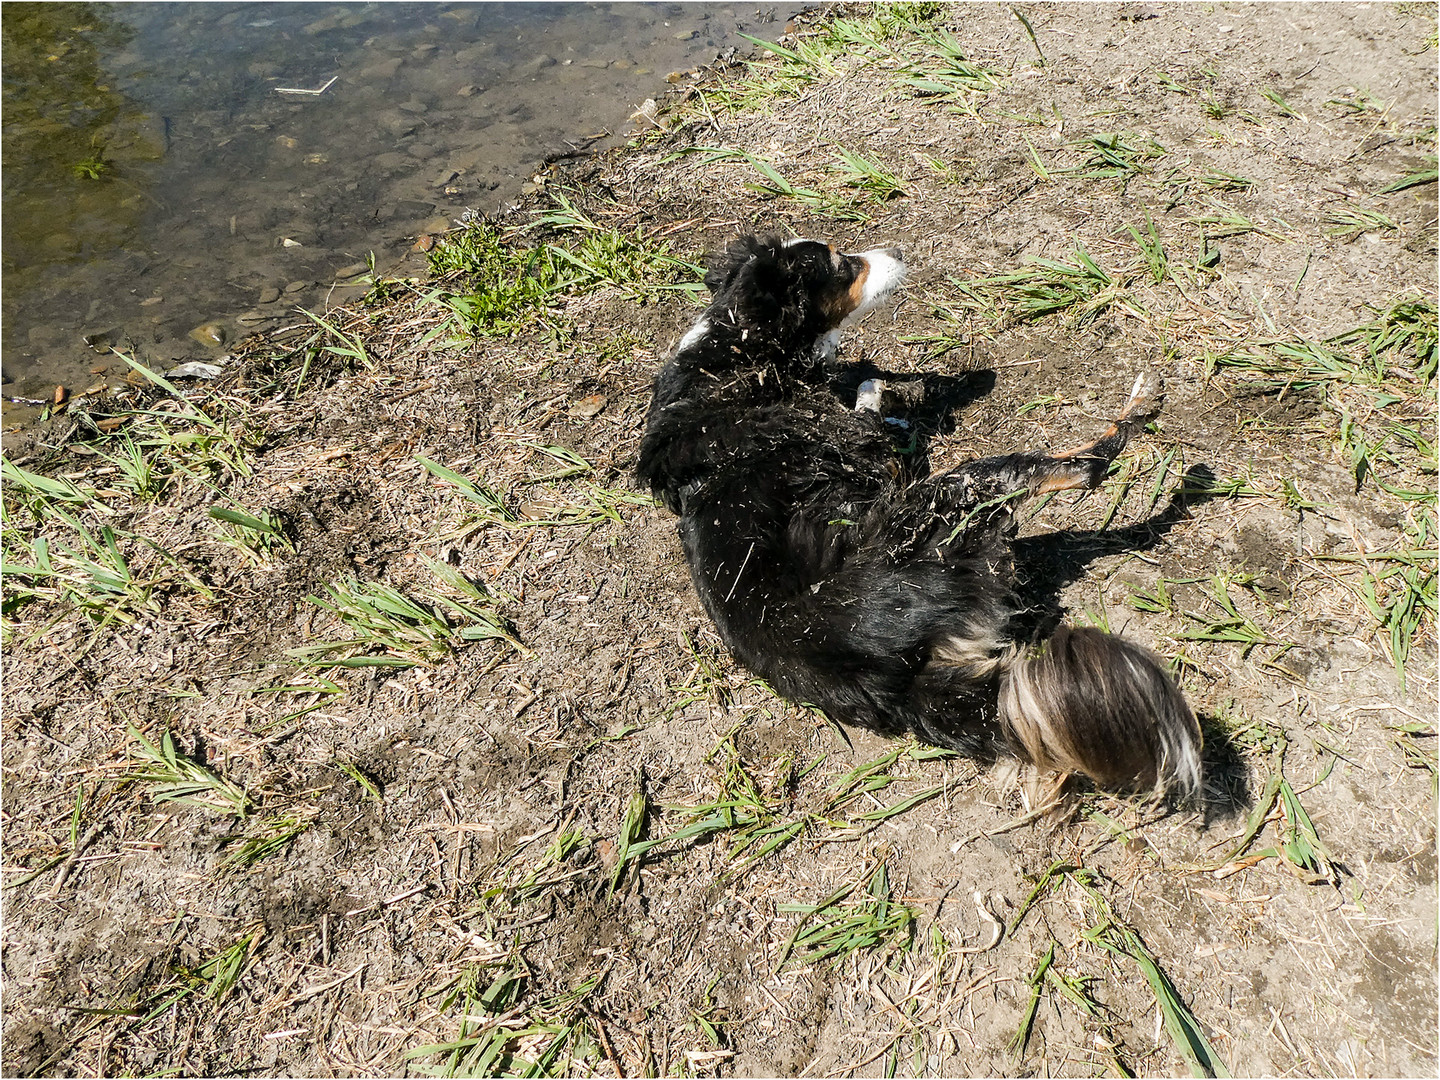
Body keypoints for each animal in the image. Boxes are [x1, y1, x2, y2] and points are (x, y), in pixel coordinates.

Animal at [642, 236, 1203, 800]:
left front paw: (873, 386)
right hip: (950, 496)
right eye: (843, 264)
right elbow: (870, 423)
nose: (895, 250)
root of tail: (898, 685)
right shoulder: (866, 453)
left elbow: (867, 397)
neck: (738, 351)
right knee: (1081, 466)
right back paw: (1143, 411)